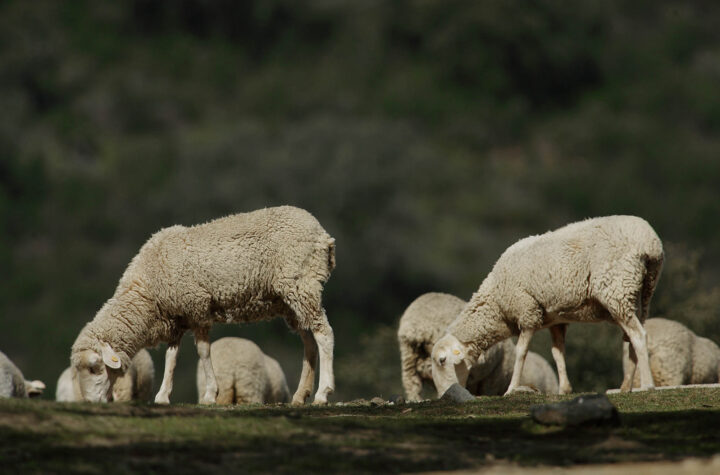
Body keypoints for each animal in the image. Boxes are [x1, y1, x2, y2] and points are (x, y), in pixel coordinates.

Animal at [70, 205, 334, 406]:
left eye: (94, 368)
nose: (90, 403)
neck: (147, 292)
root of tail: (322, 234)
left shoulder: (196, 307)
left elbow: (204, 351)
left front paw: (210, 394)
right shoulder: (177, 317)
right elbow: (171, 357)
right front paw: (163, 395)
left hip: (303, 284)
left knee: (324, 334)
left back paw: (322, 394)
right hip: (291, 301)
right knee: (309, 343)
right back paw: (301, 395)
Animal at [428, 216, 664, 398]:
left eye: (442, 360)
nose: (444, 395)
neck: (497, 303)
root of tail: (650, 243)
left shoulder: (527, 311)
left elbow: (521, 352)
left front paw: (511, 389)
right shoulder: (555, 321)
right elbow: (557, 353)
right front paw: (564, 389)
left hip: (617, 289)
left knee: (639, 336)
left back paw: (647, 385)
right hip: (642, 294)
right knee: (632, 338)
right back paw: (624, 387)